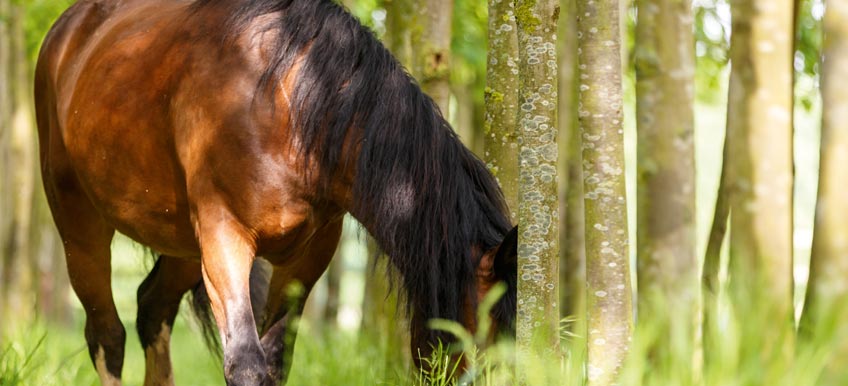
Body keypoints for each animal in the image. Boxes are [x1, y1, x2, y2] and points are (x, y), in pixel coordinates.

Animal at [34, 0, 516, 384]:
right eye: (483, 334)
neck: (289, 104)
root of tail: (67, 31)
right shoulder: (224, 241)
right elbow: (246, 363)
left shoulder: (307, 257)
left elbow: (275, 360)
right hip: (81, 228)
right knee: (106, 335)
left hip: (181, 245)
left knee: (152, 310)